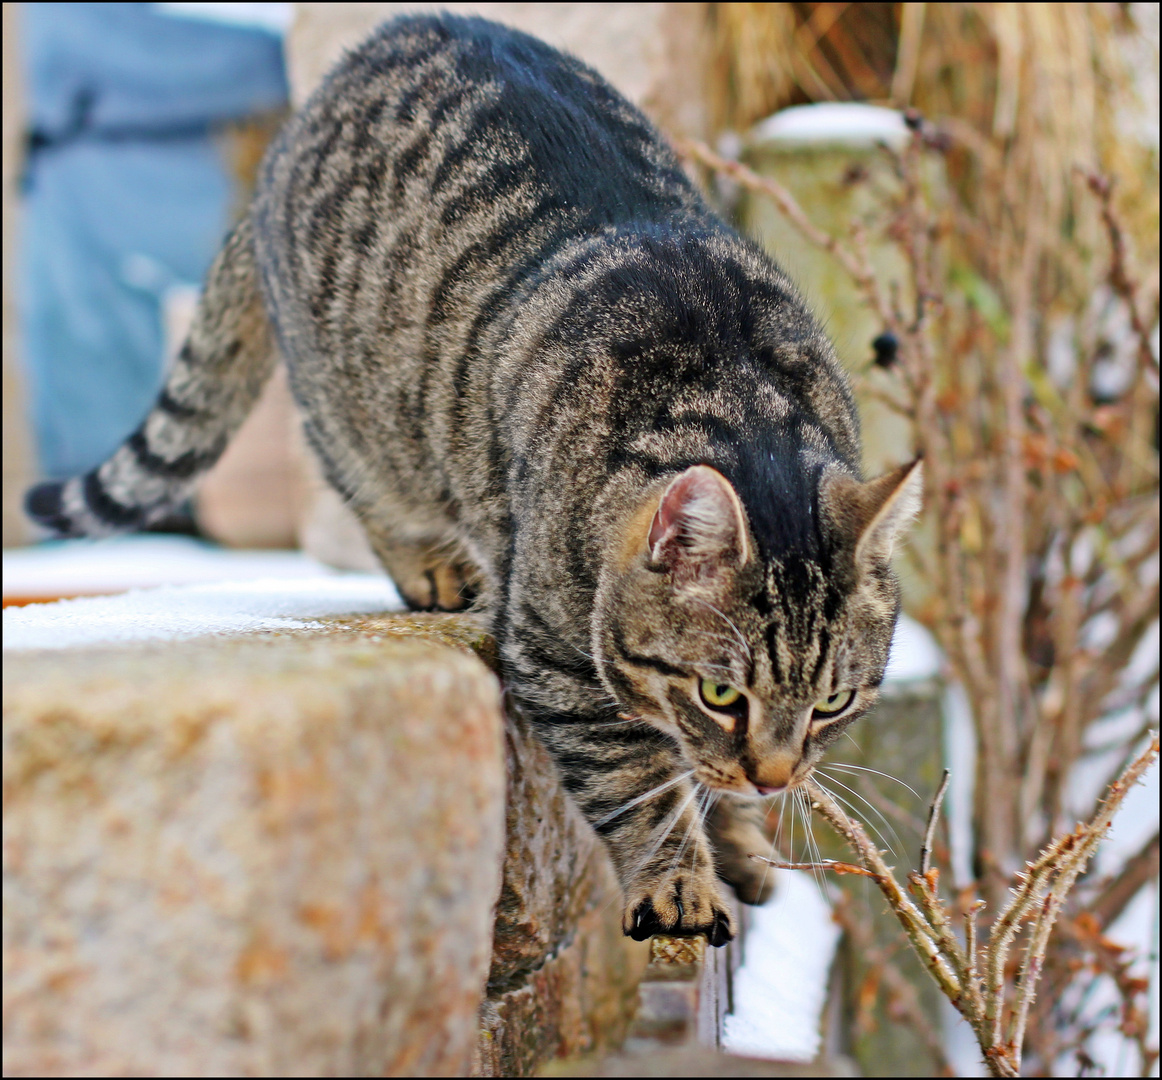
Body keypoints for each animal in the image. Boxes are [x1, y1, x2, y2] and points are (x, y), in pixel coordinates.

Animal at [22, 14, 920, 943]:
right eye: (720, 693)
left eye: (833, 703)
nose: (775, 777)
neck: (739, 399)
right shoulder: (555, 654)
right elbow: (640, 784)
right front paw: (680, 877)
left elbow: (701, 777)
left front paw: (739, 839)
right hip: (362, 412)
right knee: (362, 480)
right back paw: (433, 569)